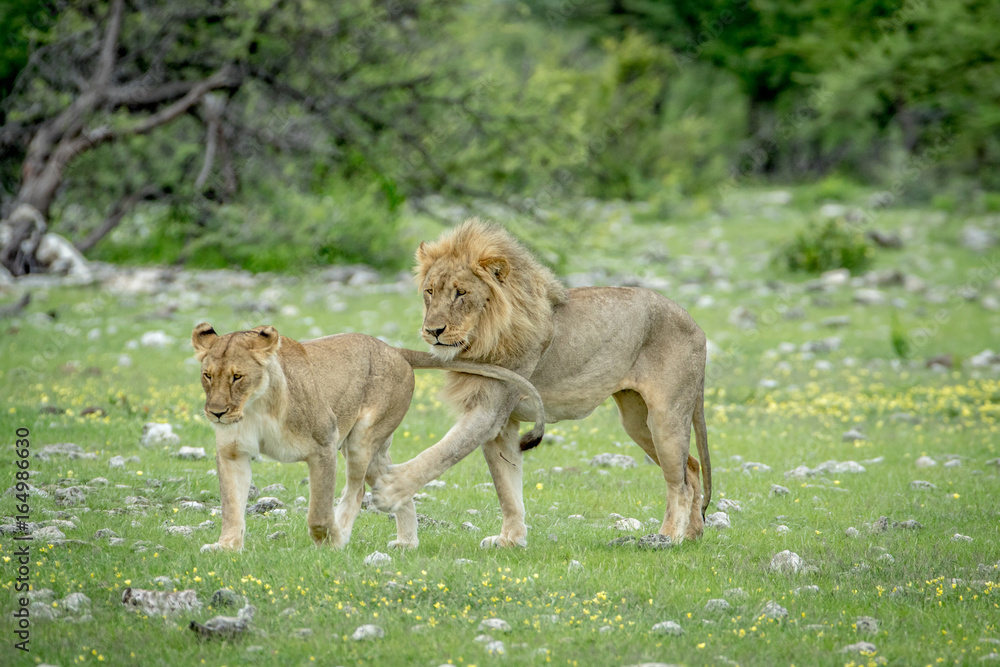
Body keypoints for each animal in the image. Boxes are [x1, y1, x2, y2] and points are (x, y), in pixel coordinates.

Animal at [191, 322, 544, 552]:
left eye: (237, 377)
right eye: (207, 376)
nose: (217, 413)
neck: (256, 406)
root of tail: (393, 349)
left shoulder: (323, 444)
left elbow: (318, 511)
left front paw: (329, 540)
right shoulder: (232, 453)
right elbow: (231, 505)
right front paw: (226, 546)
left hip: (361, 438)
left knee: (357, 489)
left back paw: (344, 534)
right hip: (373, 449)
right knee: (392, 483)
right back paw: (406, 542)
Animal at [372, 218, 711, 548]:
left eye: (461, 293)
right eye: (430, 291)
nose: (433, 331)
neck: (483, 336)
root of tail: (695, 323)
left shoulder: (488, 412)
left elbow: (440, 454)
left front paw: (390, 490)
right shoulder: (502, 424)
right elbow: (506, 487)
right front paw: (510, 539)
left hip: (665, 417)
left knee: (678, 482)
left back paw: (669, 535)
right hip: (637, 421)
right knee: (692, 468)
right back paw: (692, 535)